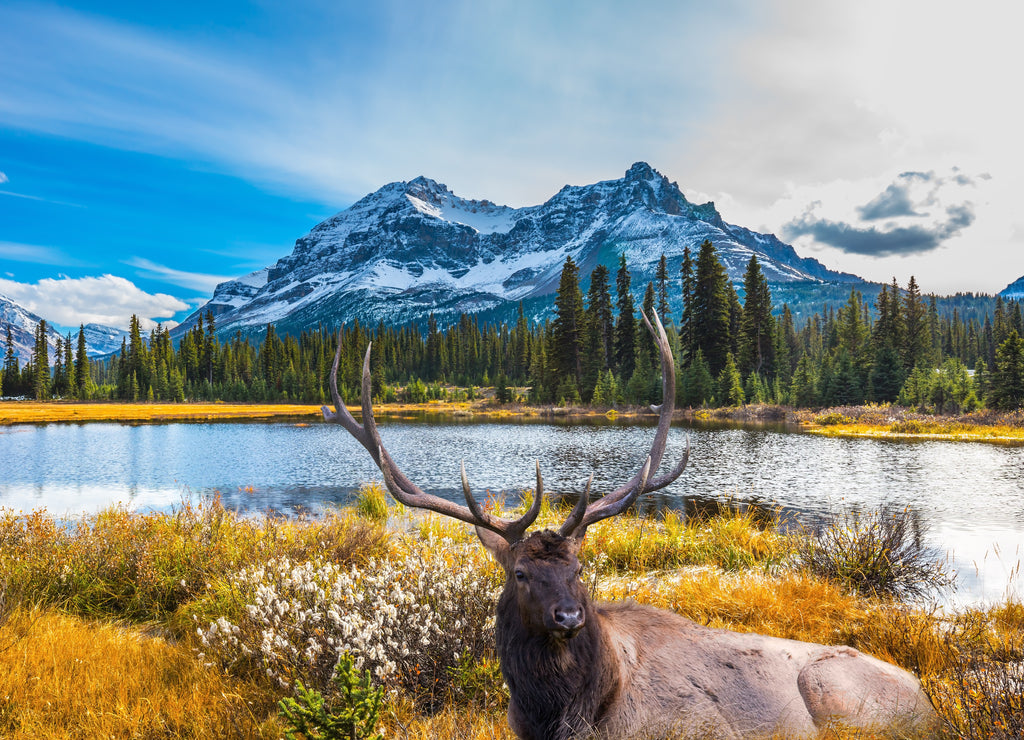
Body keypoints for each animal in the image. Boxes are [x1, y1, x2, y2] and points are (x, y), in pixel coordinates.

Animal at [322, 310, 937, 740]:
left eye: (580, 568)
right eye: (520, 573)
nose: (569, 616)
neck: (567, 716)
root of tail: (929, 698)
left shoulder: (701, 726)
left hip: (836, 694)